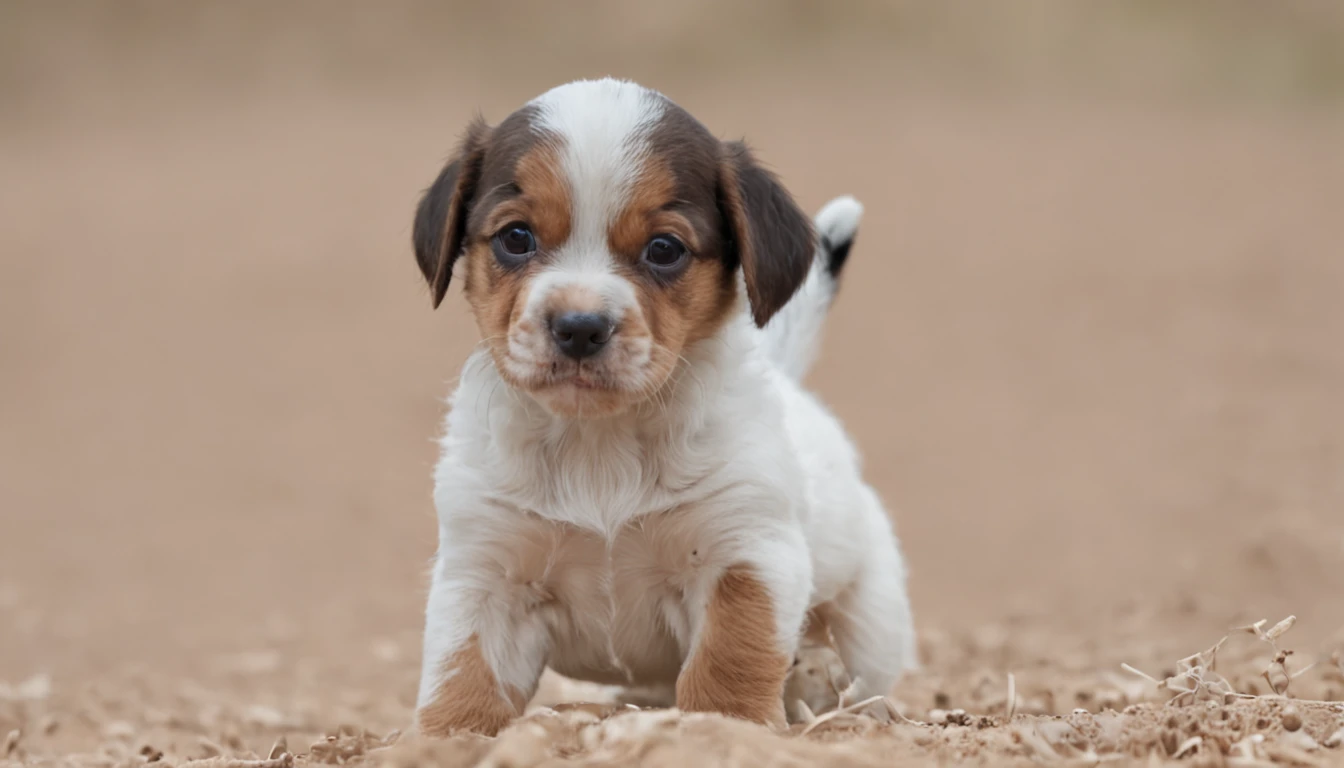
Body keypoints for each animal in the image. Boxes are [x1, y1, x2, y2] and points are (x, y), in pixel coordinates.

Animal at [408, 79, 913, 737]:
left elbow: (729, 660)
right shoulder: (484, 573)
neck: (598, 443)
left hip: (871, 624)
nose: (579, 327)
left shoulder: (745, 554)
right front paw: (445, 741)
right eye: (516, 238)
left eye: (664, 249)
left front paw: (722, 730)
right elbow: (463, 674)